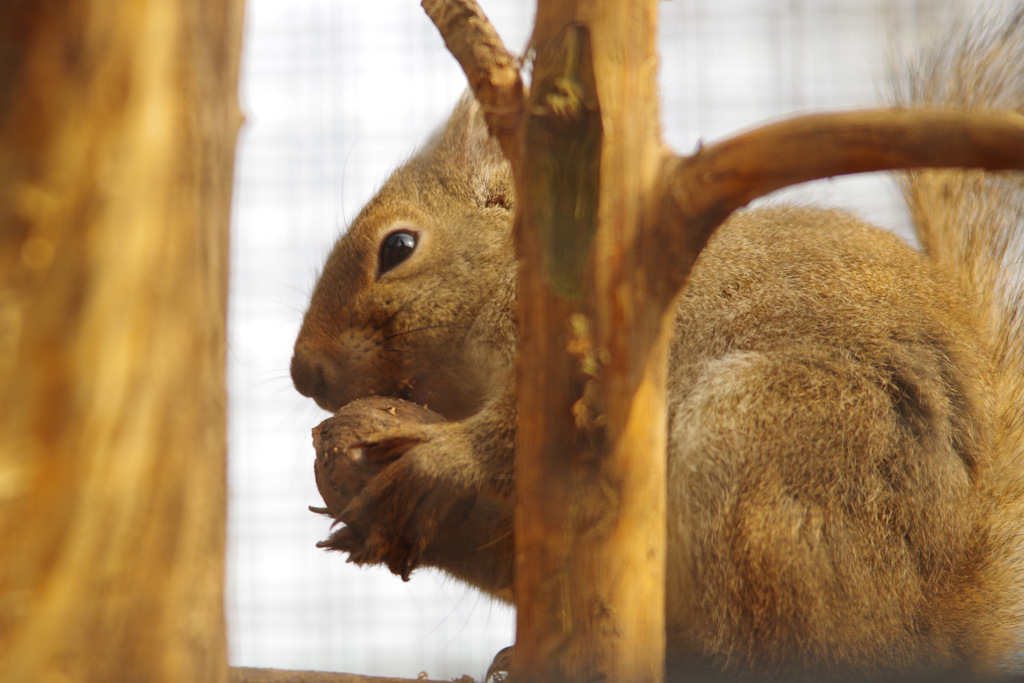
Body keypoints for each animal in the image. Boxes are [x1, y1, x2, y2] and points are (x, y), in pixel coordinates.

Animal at [288, 6, 1024, 683]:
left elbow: (515, 433)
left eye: (398, 247)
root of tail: (943, 633)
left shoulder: (586, 359)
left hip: (765, 450)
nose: (302, 372)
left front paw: (440, 456)